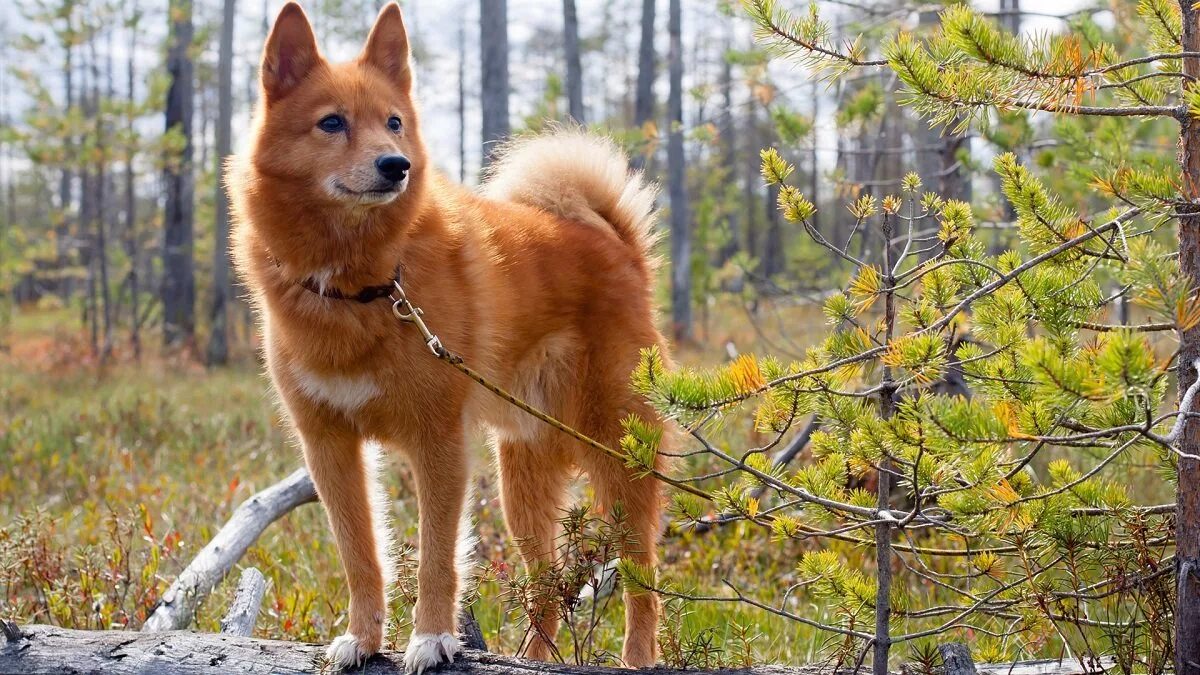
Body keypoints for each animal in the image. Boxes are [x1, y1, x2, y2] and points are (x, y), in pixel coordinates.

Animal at [229, 3, 672, 667]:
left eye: (394, 122)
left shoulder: (437, 443)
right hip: (523, 482)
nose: (397, 165)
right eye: (331, 123)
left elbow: (438, 556)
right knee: (546, 586)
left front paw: (432, 637)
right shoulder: (330, 448)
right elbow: (362, 558)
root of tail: (617, 246)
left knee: (644, 578)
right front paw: (363, 640)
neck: (366, 284)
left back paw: (637, 655)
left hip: (617, 455)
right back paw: (532, 658)